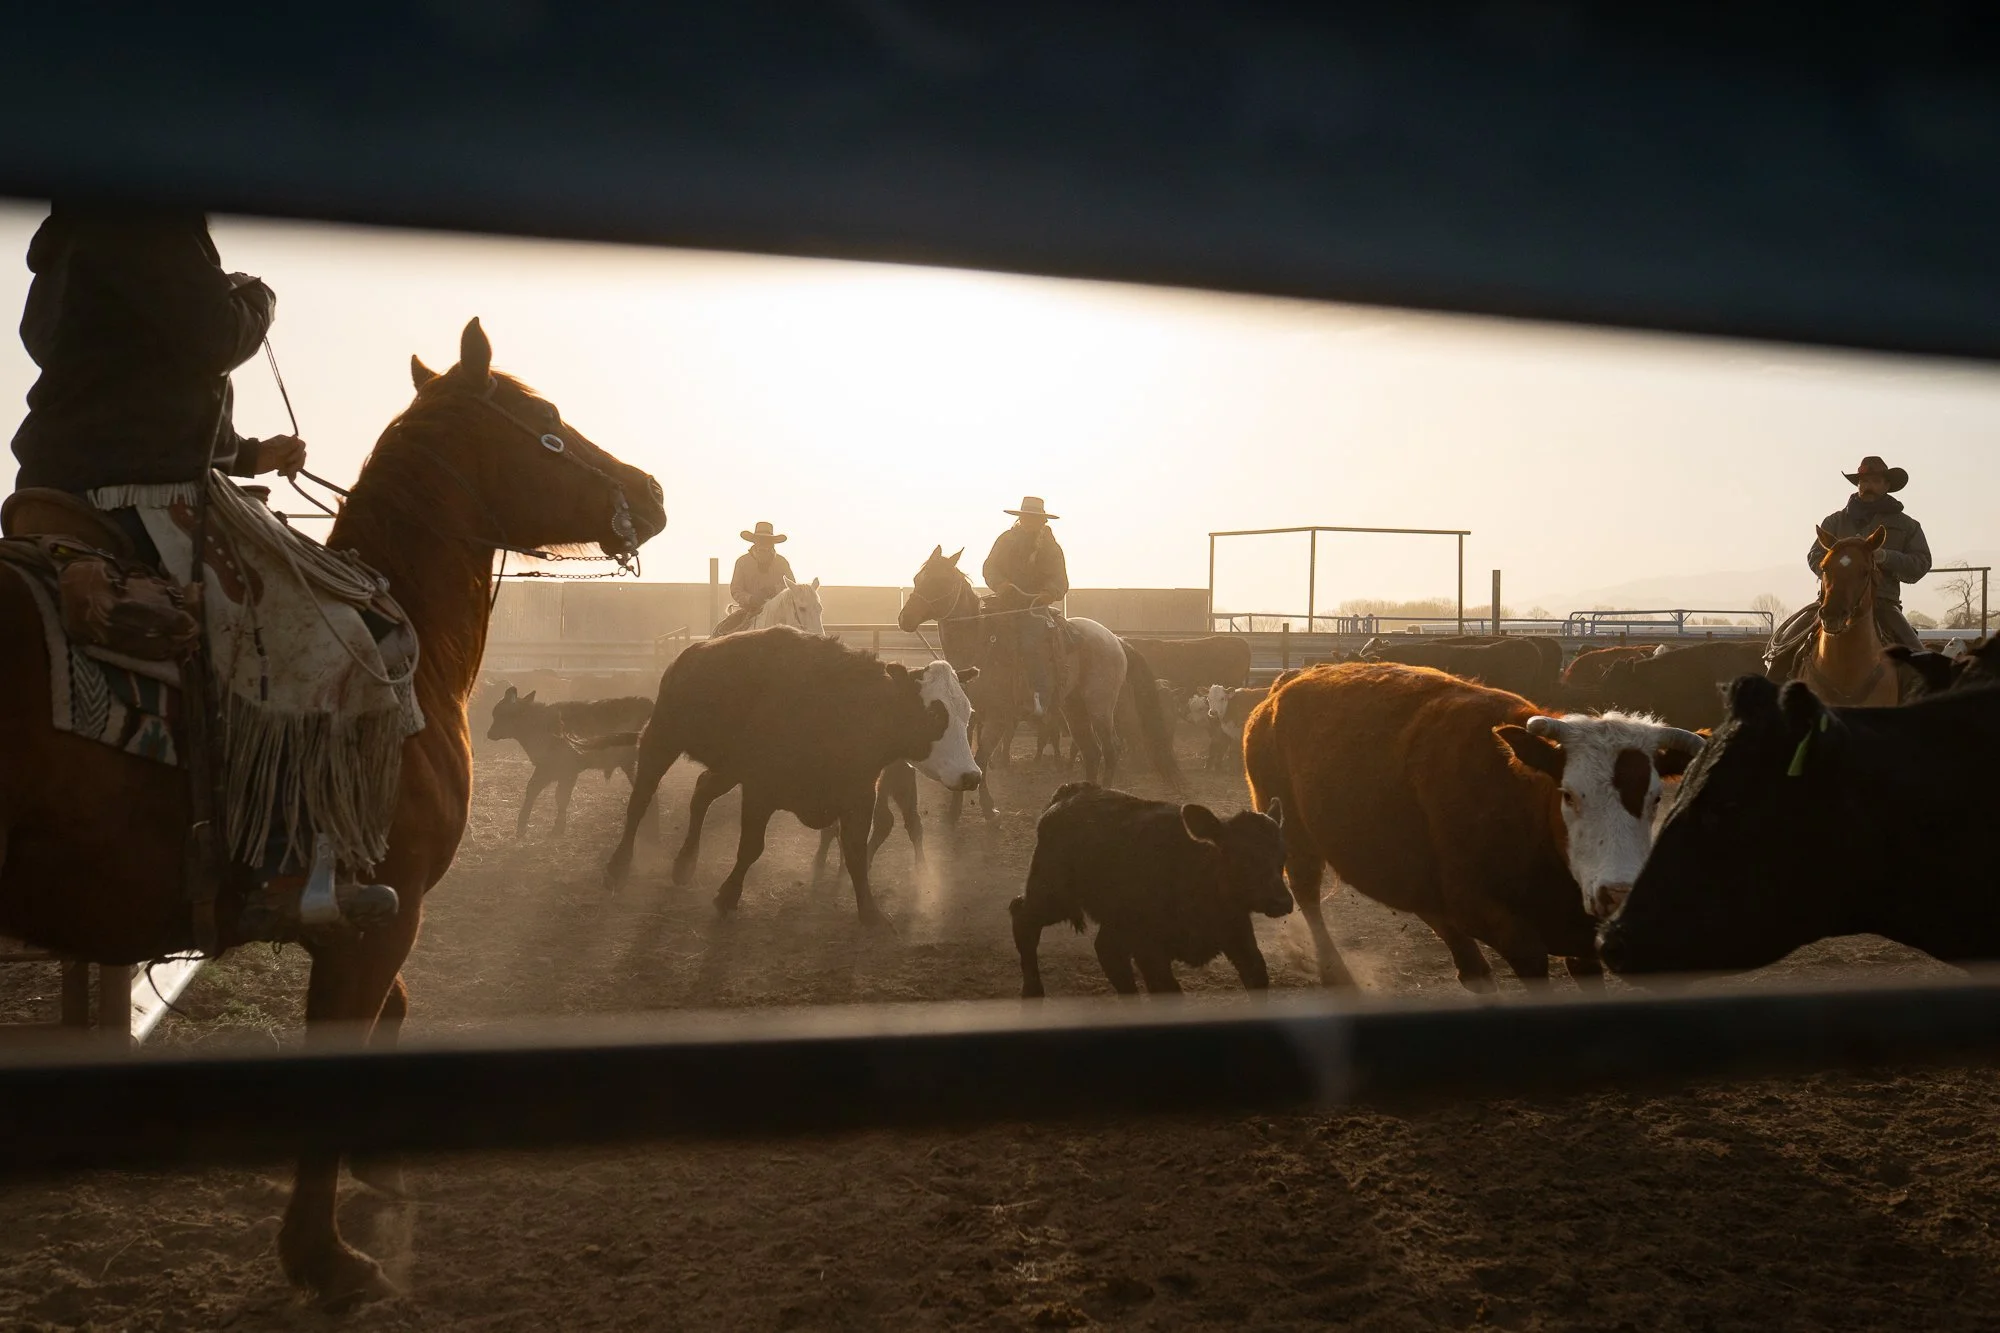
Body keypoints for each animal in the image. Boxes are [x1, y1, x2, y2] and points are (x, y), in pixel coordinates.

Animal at [486, 686, 655, 836]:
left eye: (503, 715)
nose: (489, 734)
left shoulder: (567, 770)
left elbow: (561, 797)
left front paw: (557, 829)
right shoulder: (545, 768)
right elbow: (532, 790)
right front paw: (521, 827)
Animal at [604, 626, 982, 921]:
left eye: (968, 712)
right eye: (934, 714)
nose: (972, 776)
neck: (844, 712)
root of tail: (690, 653)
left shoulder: (859, 796)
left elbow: (856, 853)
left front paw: (870, 912)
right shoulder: (759, 790)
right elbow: (751, 847)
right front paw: (728, 895)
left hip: (729, 767)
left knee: (701, 792)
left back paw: (684, 863)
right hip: (660, 739)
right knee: (640, 800)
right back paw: (619, 865)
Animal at [1008, 782, 1292, 997]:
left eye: (1282, 858)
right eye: (1242, 856)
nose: (1283, 901)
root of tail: (1068, 793)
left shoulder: (1240, 939)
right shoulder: (1148, 949)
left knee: (1107, 951)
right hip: (1052, 895)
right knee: (1022, 917)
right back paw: (1032, 989)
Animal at [1243, 662, 1704, 989]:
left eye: (1656, 798)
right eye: (1569, 794)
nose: (1619, 892)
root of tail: (1283, 687)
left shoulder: (1582, 940)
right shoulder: (1491, 918)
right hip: (1295, 834)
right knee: (1306, 892)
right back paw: (1334, 971)